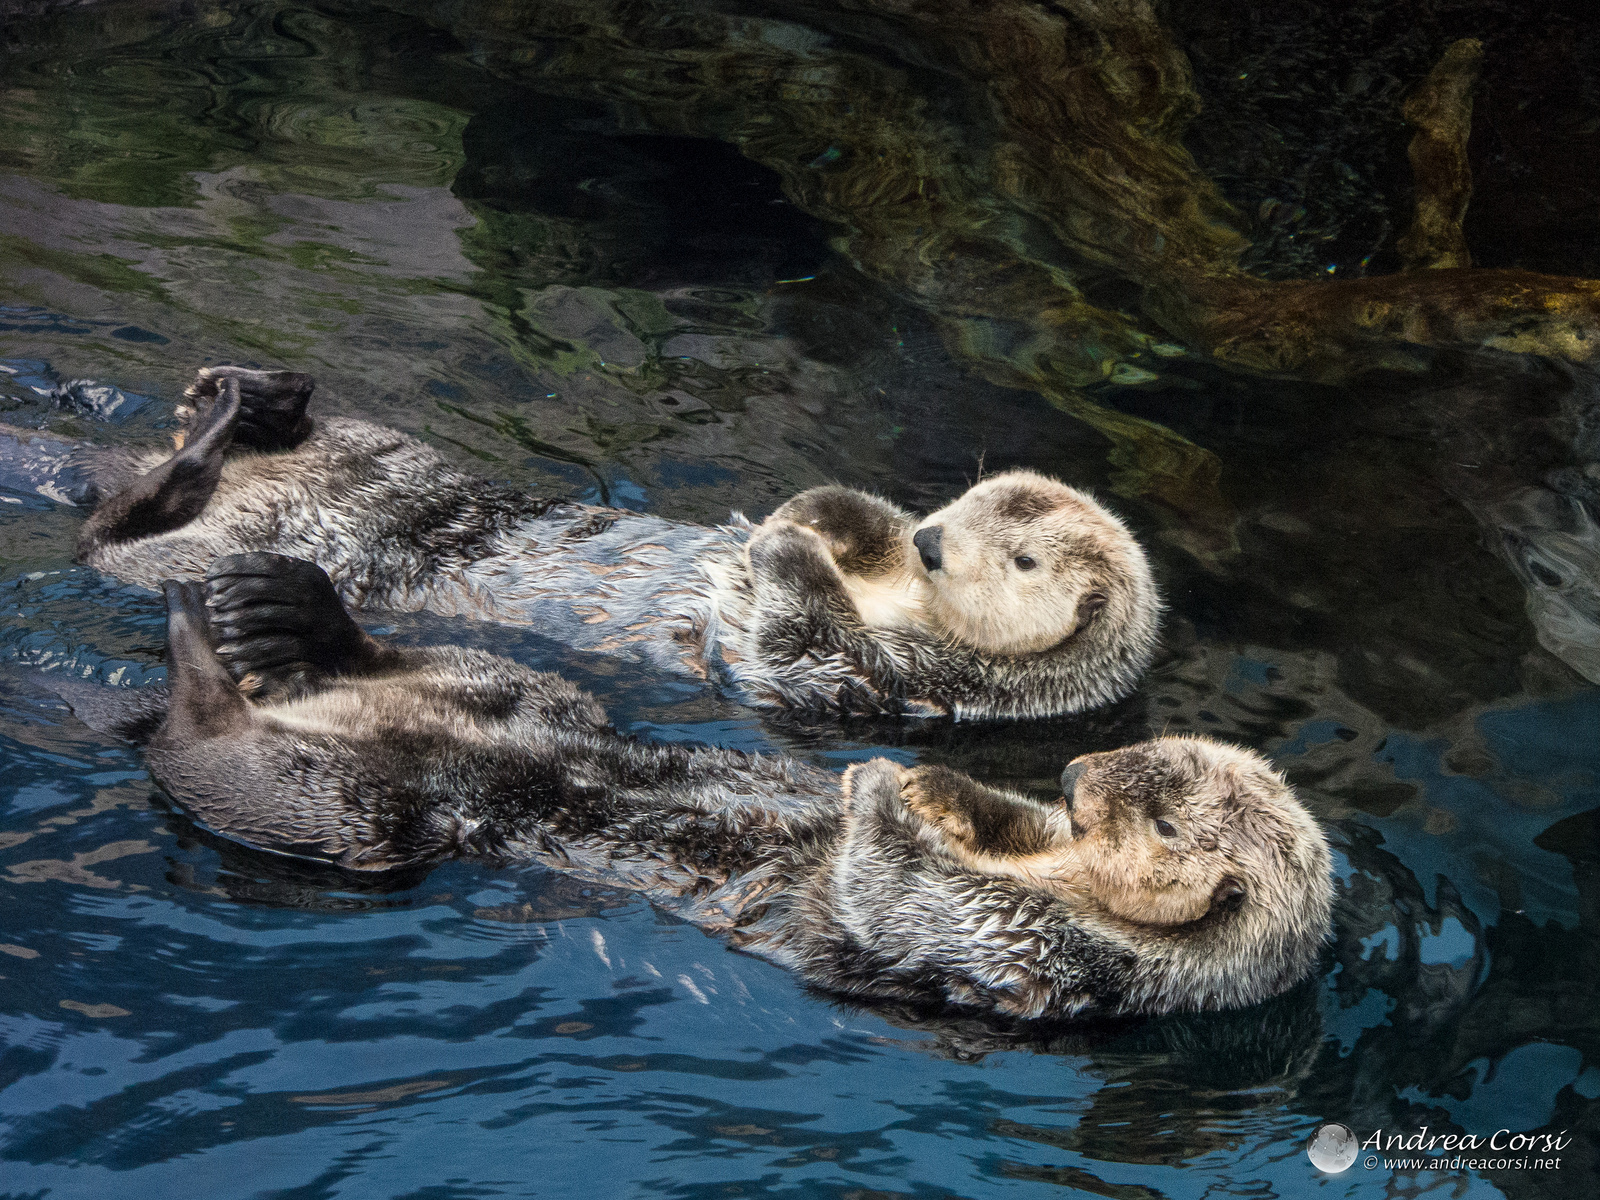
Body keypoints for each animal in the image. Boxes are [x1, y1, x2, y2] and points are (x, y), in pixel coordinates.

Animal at [49, 364, 1160, 719]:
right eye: (973, 497)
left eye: (1022, 561)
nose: (932, 540)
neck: (910, 604)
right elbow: (845, 521)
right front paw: (820, 514)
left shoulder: (896, 687)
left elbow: (789, 651)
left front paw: (788, 552)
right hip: (385, 449)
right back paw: (246, 400)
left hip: (172, 555)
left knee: (112, 534)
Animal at [56, 552, 1330, 1020]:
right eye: (1126, 774)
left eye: (1155, 812)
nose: (1075, 771)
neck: (1059, 877)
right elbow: (984, 821)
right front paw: (929, 787)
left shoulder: (1034, 955)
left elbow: (909, 901)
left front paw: (882, 799)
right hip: (515, 693)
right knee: (416, 663)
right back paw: (283, 609)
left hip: (358, 815)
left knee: (223, 761)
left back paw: (200, 646)